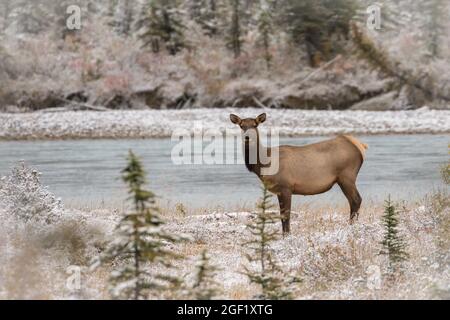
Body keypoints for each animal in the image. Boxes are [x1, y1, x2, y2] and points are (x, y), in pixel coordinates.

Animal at [230, 114, 368, 234]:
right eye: (241, 125)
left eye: (255, 125)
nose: (247, 137)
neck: (264, 165)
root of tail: (360, 145)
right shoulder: (279, 190)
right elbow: (282, 215)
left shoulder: (286, 186)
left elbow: (286, 215)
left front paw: (287, 236)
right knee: (353, 201)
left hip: (347, 176)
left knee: (356, 200)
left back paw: (351, 226)